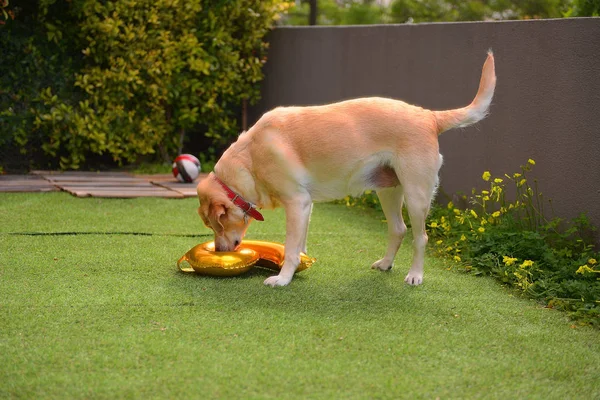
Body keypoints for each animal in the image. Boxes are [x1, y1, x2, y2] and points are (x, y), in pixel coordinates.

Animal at [198, 50, 496, 288]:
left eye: (214, 224)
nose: (218, 250)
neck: (248, 160)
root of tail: (429, 116)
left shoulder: (296, 202)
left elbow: (292, 247)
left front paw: (283, 278)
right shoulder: (306, 207)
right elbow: (299, 244)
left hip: (416, 195)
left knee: (420, 236)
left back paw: (415, 275)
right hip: (388, 191)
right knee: (398, 229)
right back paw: (386, 263)